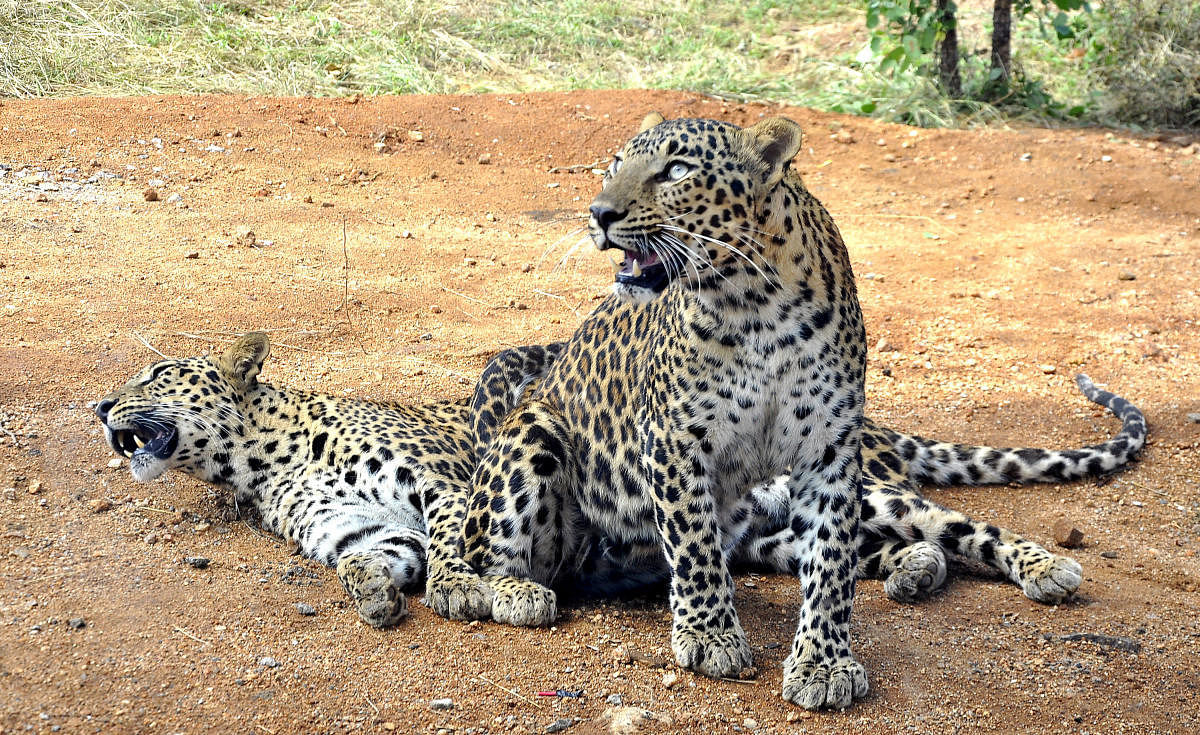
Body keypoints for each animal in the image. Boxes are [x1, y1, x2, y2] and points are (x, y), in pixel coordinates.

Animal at [420, 111, 1142, 710]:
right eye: (614, 164)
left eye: (676, 171)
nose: (598, 212)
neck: (755, 304)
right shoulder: (676, 441)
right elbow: (696, 547)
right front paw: (712, 636)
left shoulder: (828, 453)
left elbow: (830, 569)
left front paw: (822, 663)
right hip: (535, 432)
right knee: (490, 547)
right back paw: (512, 591)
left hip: (856, 494)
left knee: (945, 530)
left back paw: (1036, 566)